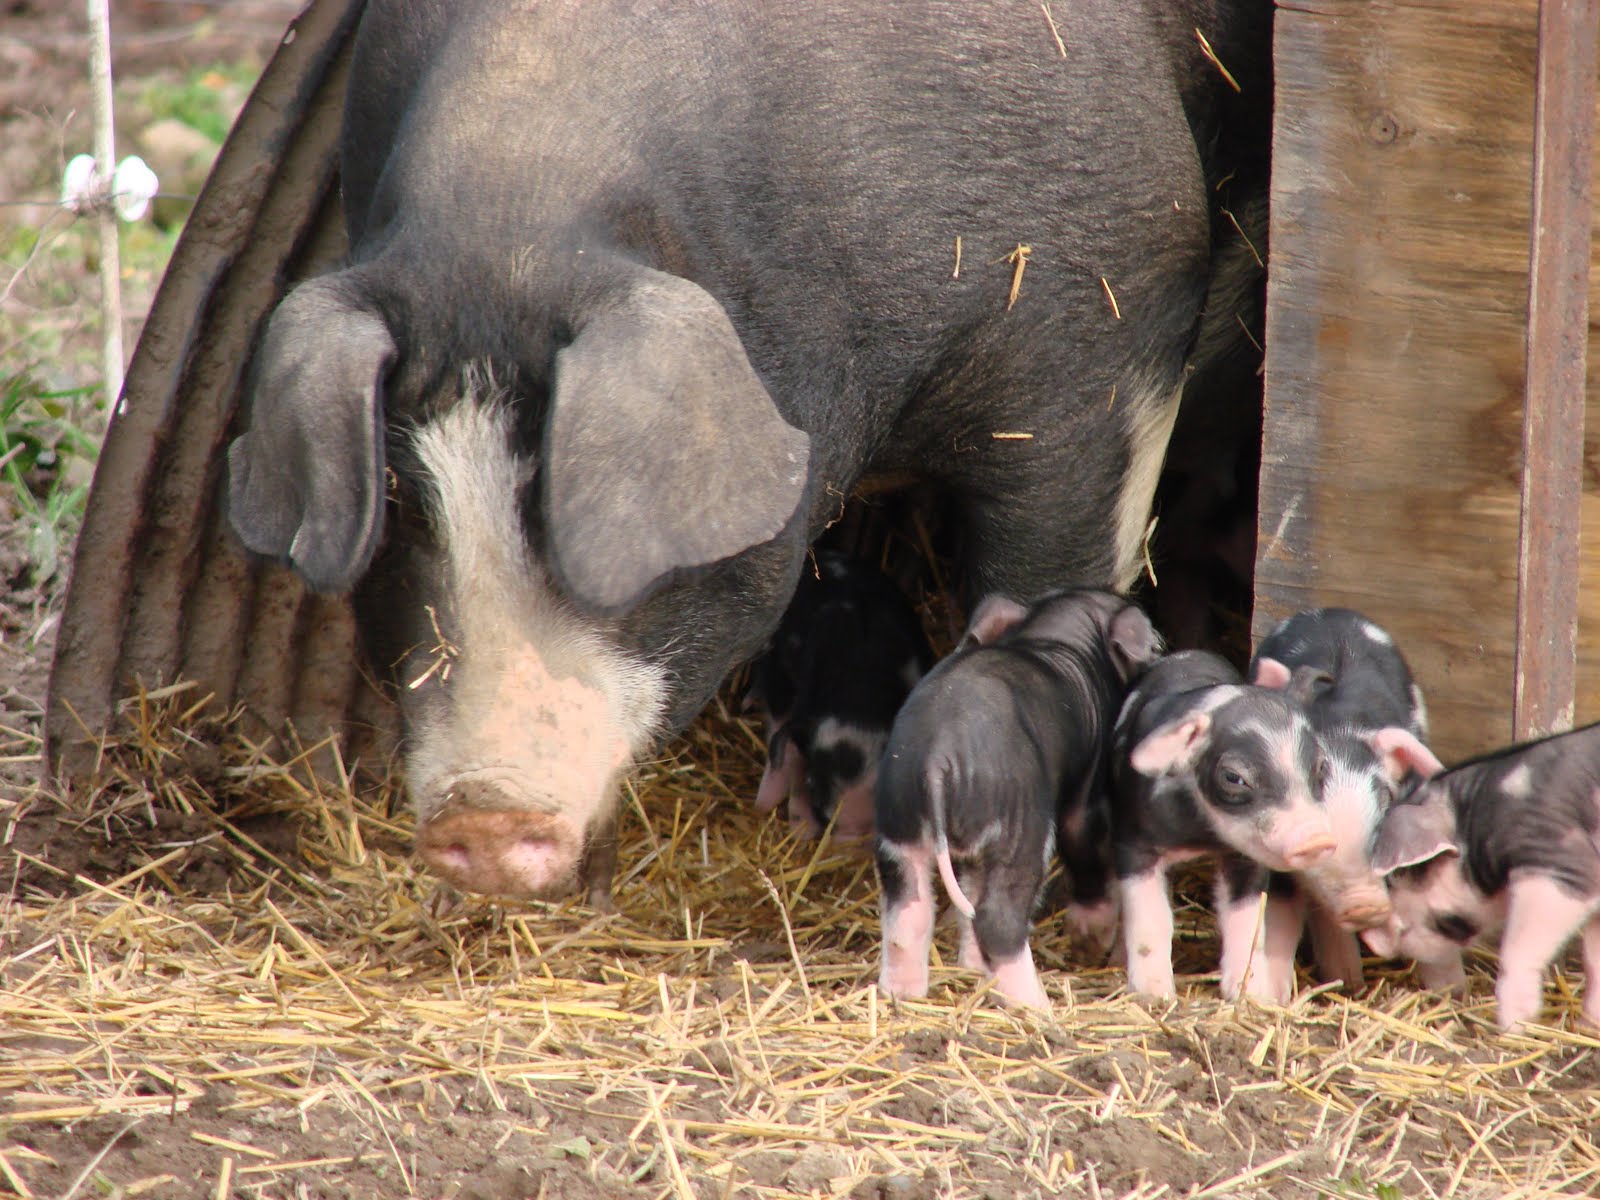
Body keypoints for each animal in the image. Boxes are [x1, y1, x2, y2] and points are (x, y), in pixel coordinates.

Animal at [875, 589, 1162, 1008]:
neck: (1054, 638)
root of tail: (937, 758)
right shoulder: (1087, 788)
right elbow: (1084, 844)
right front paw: (1089, 945)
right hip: (1019, 820)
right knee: (998, 916)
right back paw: (1037, 1006)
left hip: (898, 820)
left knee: (910, 911)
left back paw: (906, 996)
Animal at [1112, 652, 1337, 1002]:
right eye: (1234, 777)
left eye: (1322, 767)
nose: (1316, 840)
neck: (1200, 835)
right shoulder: (1132, 843)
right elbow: (1151, 917)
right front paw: (1155, 996)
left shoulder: (1245, 858)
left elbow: (1246, 921)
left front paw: (1254, 997)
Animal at [1363, 721, 1600, 1029]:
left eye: (1397, 876)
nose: (1370, 937)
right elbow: (1595, 961)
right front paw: (1586, 1027)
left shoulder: (1558, 859)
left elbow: (1518, 948)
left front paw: (1514, 1027)